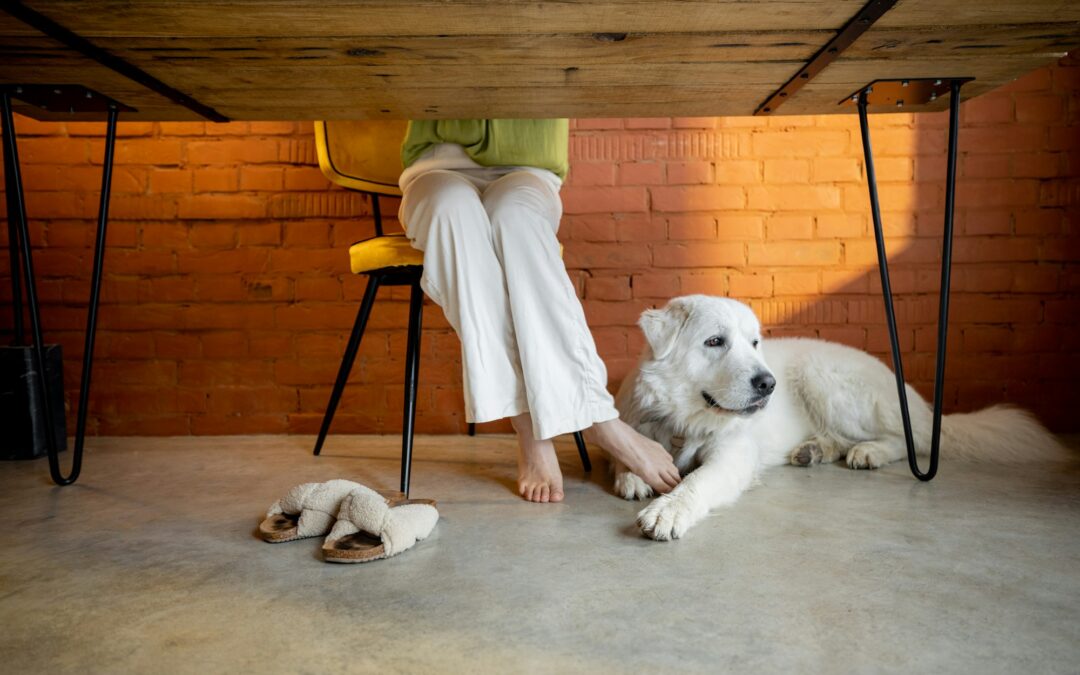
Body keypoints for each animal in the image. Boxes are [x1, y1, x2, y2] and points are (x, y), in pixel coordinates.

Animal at [617, 293, 1062, 542]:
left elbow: (697, 482)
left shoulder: (732, 456)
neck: (684, 418)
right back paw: (813, 450)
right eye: (714, 341)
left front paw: (667, 511)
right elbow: (629, 447)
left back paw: (868, 453)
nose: (769, 384)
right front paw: (634, 475)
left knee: (907, 440)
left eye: (754, 343)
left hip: (826, 381)